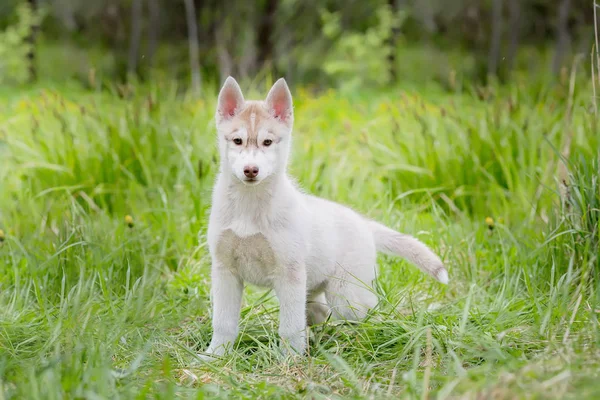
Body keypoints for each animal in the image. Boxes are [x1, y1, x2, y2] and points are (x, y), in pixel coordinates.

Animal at [200, 77, 446, 360]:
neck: (249, 207)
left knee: (367, 308)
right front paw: (215, 356)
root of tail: (364, 223)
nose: (251, 170)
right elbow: (223, 322)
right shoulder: (225, 271)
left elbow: (290, 327)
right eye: (238, 140)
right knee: (320, 312)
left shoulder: (289, 273)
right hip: (314, 291)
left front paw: (290, 360)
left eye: (268, 142)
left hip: (345, 296)